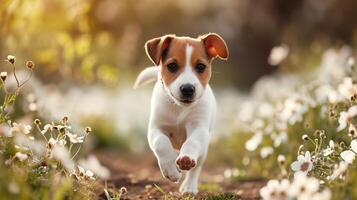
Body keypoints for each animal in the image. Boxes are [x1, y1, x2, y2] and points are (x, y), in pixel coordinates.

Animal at [134, 32, 228, 194]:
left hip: (204, 151)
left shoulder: (198, 127)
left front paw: (186, 159)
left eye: (201, 66)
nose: (188, 89)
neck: (179, 109)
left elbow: (192, 142)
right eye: (172, 66)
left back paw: (189, 186)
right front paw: (170, 169)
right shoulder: (156, 128)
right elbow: (161, 143)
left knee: (196, 169)